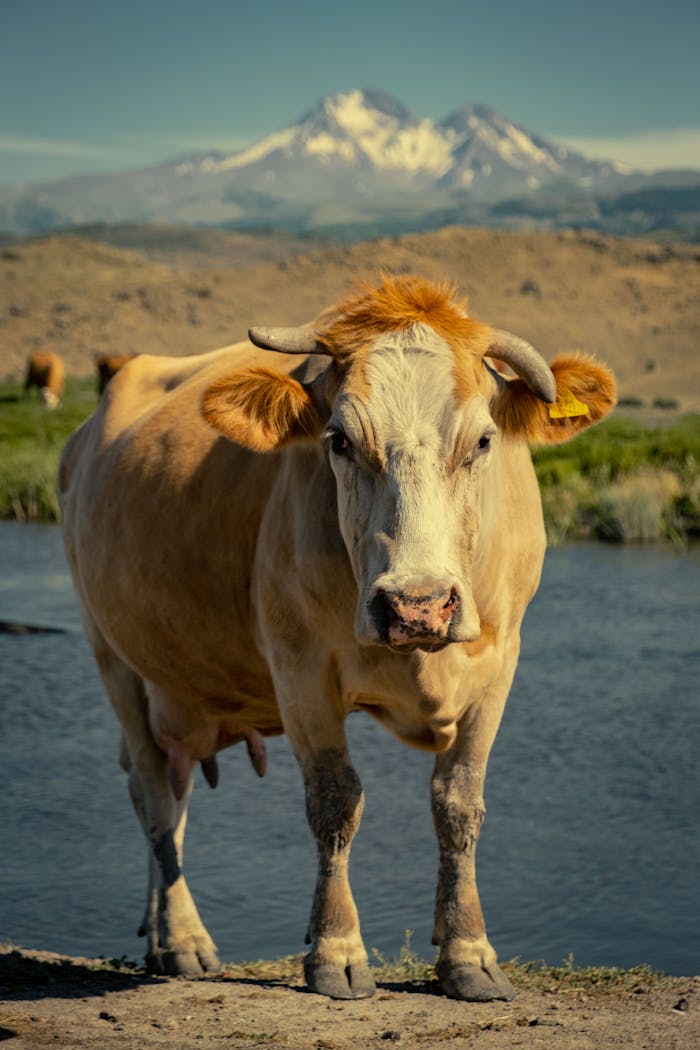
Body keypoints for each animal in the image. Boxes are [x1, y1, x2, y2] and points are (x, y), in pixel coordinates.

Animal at [61, 275, 617, 1003]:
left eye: (483, 441)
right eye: (340, 441)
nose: (417, 606)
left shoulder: (500, 665)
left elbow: (459, 805)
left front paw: (468, 953)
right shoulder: (301, 671)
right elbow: (335, 803)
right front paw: (336, 951)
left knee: (166, 798)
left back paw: (159, 939)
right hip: (113, 656)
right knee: (156, 794)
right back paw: (184, 942)